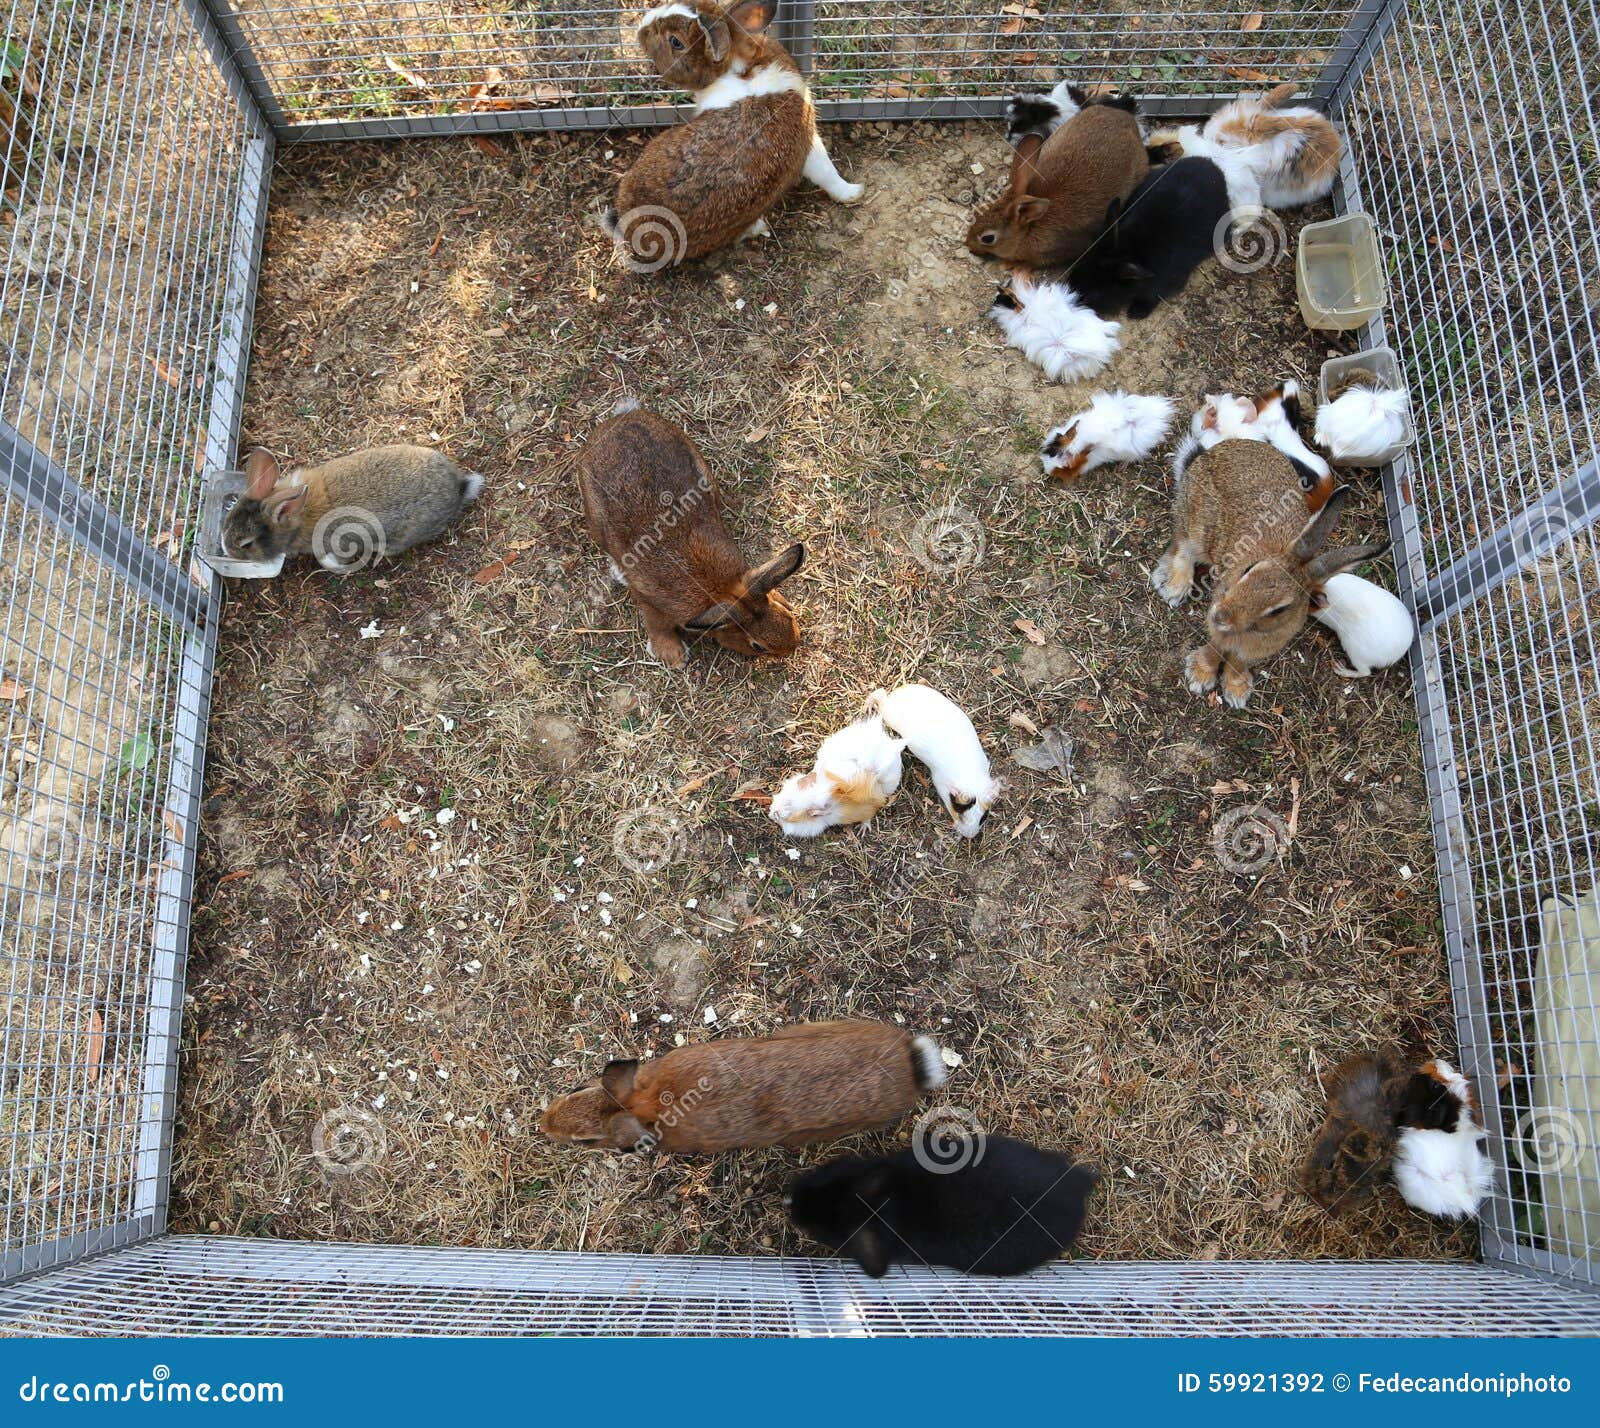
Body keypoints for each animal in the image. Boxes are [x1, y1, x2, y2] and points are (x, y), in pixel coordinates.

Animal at [577, 399, 804, 668]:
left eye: (785, 614)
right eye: (758, 646)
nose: (793, 645)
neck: (718, 590)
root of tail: (619, 420)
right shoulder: (651, 602)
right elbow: (657, 625)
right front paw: (673, 657)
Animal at [867, 684, 998, 837]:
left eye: (983, 817)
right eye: (959, 812)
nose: (970, 836)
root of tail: (901, 691)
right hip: (888, 714)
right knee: (879, 694)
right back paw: (867, 707)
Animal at [989, 274, 1121, 384]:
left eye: (1000, 302)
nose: (992, 304)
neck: (1022, 312)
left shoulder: (1015, 337)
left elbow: (1010, 341)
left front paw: (1002, 340)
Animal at [1069, 156, 1231, 319]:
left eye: (1094, 294)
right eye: (1077, 267)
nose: (1071, 298)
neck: (1131, 250)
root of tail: (1211, 165)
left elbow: (1153, 297)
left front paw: (1137, 313)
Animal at [1152, 440, 1387, 708]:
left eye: (1279, 609)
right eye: (1248, 569)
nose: (1221, 616)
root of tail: (1207, 455)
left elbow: (1238, 660)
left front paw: (1236, 690)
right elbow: (1215, 648)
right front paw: (1200, 675)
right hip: (1198, 526)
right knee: (1183, 547)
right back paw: (1173, 587)